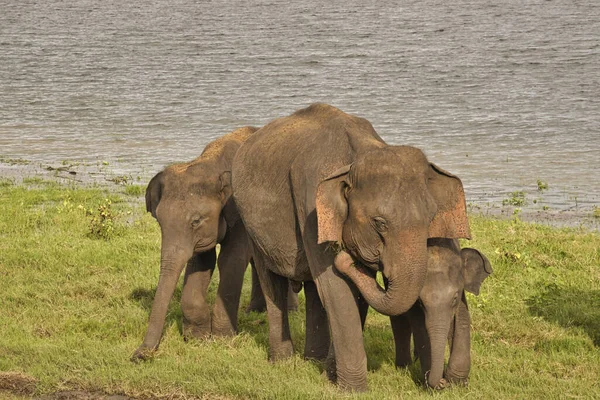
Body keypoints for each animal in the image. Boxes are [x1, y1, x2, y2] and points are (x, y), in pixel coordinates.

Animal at [131, 126, 258, 360]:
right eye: (159, 221)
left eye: (196, 221)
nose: (139, 355)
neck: (210, 163)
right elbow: (202, 261)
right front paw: (197, 338)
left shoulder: (239, 213)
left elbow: (231, 259)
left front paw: (223, 339)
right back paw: (255, 311)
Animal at [232, 103, 472, 390]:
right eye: (379, 223)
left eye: (430, 217)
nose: (346, 260)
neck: (359, 155)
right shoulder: (311, 205)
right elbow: (336, 289)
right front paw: (352, 389)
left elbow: (352, 294)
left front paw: (331, 376)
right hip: (251, 223)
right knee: (273, 282)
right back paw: (282, 361)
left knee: (313, 289)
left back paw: (313, 360)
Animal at [390, 239, 492, 390]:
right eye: (420, 302)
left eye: (454, 298)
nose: (443, 381)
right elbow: (419, 326)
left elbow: (462, 319)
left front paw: (458, 382)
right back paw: (404, 367)